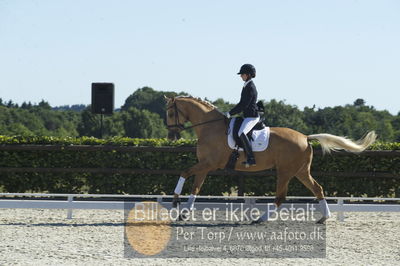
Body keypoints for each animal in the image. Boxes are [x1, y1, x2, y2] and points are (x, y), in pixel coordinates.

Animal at [164, 94, 376, 223]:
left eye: (172, 112)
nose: (171, 136)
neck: (210, 127)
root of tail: (305, 137)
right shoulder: (205, 166)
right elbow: (195, 188)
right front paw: (184, 212)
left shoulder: (208, 164)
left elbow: (184, 173)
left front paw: (175, 201)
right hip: (300, 171)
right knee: (317, 188)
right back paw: (324, 217)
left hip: (285, 171)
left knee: (281, 196)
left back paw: (262, 218)